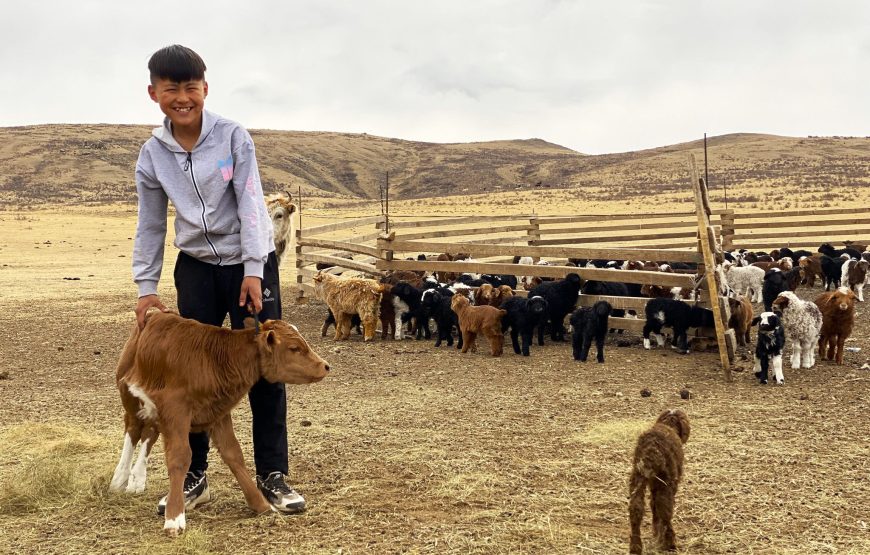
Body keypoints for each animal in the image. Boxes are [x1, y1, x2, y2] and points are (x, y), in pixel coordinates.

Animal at [109, 310, 328, 536]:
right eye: (294, 348)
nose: (325, 366)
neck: (213, 359)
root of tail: (157, 313)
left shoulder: (217, 411)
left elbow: (234, 454)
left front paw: (260, 504)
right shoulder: (176, 410)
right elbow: (180, 457)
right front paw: (174, 517)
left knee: (149, 432)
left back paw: (137, 477)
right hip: (128, 393)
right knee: (133, 428)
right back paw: (121, 476)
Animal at [632, 408, 692, 555]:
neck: (669, 425)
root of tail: (651, 449)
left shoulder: (654, 484)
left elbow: (653, 506)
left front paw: (655, 534)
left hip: (638, 477)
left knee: (636, 509)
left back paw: (635, 547)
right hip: (666, 483)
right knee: (665, 512)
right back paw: (670, 545)